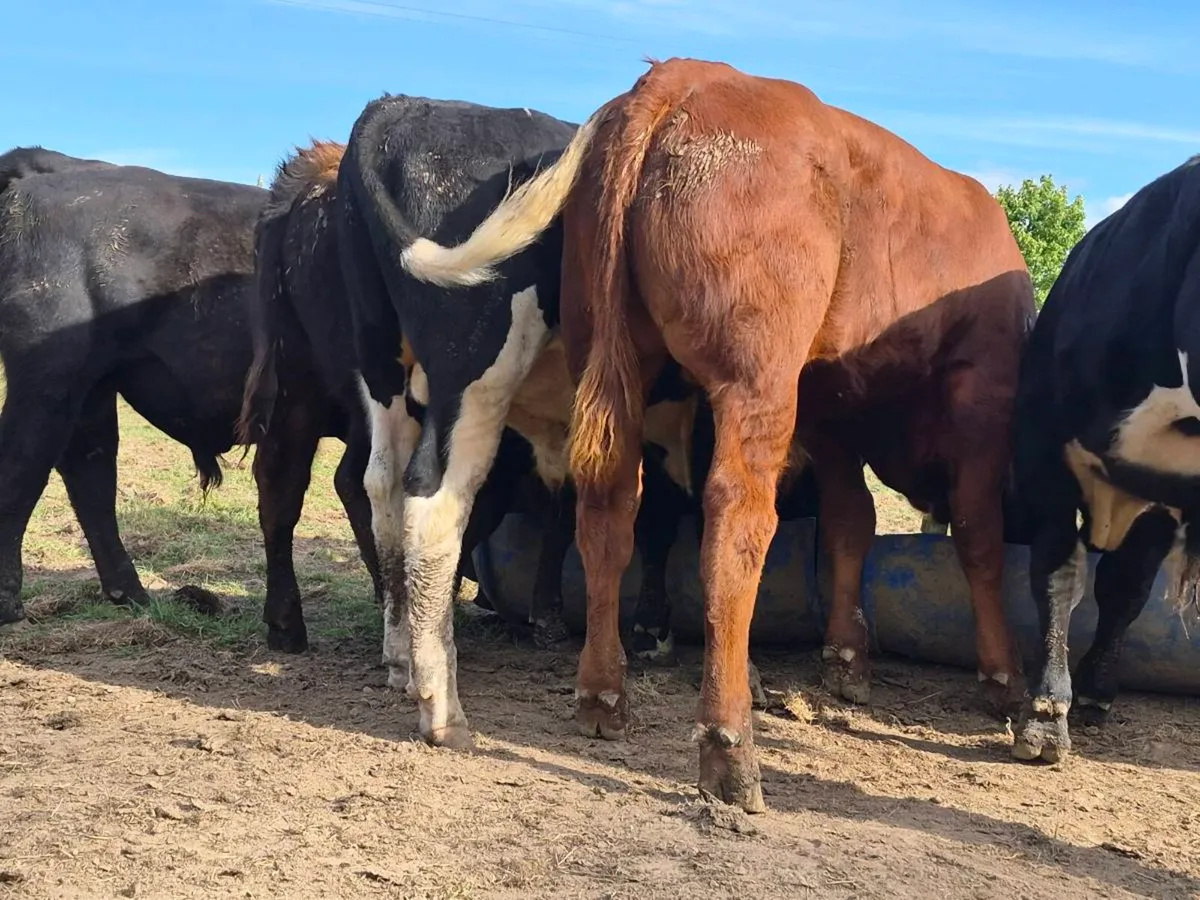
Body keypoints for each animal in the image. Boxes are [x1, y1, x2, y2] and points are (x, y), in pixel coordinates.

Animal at [0, 148, 267, 627]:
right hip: (46, 383)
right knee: (21, 468)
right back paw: (9, 606)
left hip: (91, 390)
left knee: (90, 475)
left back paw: (131, 594)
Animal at [386, 58, 1036, 811]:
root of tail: (683, 76)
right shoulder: (981, 400)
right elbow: (978, 538)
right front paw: (1005, 680)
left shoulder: (830, 411)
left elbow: (853, 524)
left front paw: (847, 656)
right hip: (754, 382)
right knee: (735, 524)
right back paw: (730, 748)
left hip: (612, 361)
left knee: (607, 511)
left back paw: (603, 696)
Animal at [1009, 154, 1200, 765]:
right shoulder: (1042, 450)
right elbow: (1058, 573)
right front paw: (1045, 713)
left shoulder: (1165, 494)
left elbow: (1126, 588)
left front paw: (1092, 689)